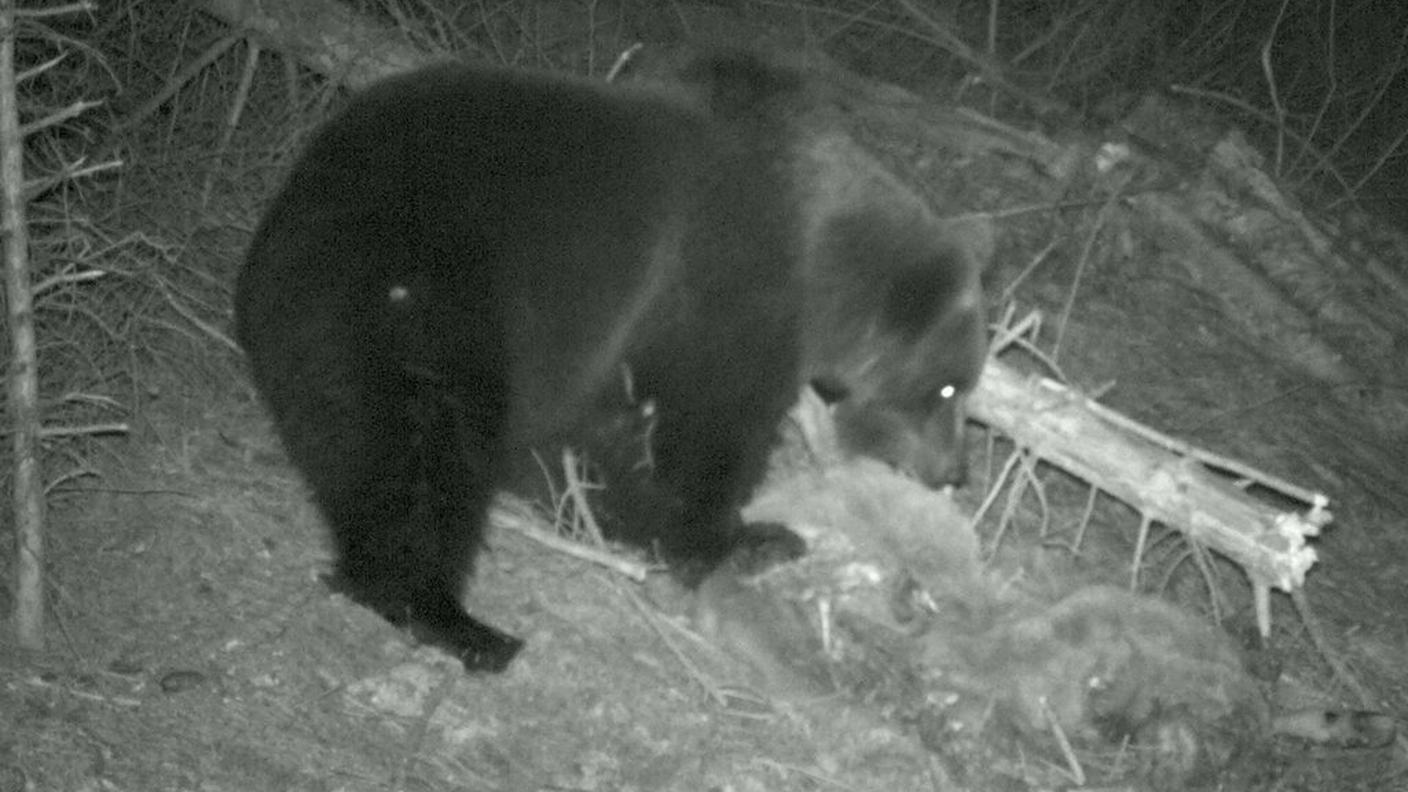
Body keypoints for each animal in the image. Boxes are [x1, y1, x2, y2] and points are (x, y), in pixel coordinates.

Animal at [235, 49, 988, 674]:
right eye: (950, 390)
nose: (954, 471)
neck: (821, 261)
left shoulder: (614, 339)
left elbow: (598, 436)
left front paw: (605, 510)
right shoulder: (723, 291)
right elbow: (709, 430)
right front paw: (746, 538)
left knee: (355, 442)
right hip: (421, 300)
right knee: (426, 445)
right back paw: (453, 618)